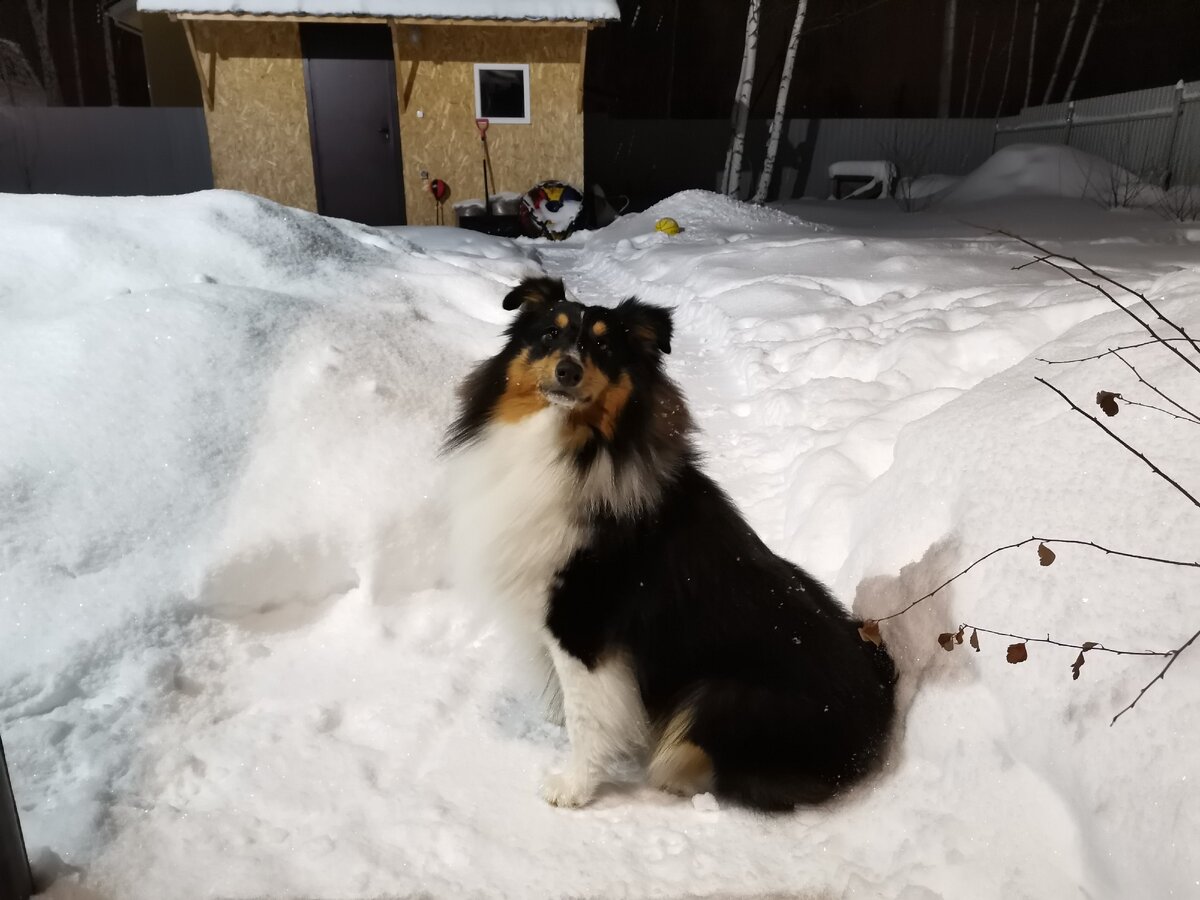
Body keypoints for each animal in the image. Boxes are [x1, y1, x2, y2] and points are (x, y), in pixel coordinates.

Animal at [446, 278, 897, 816]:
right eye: (550, 334)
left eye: (604, 347)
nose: (567, 371)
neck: (570, 446)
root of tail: (878, 712)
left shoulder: (583, 621)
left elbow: (588, 715)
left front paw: (573, 786)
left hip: (720, 694)